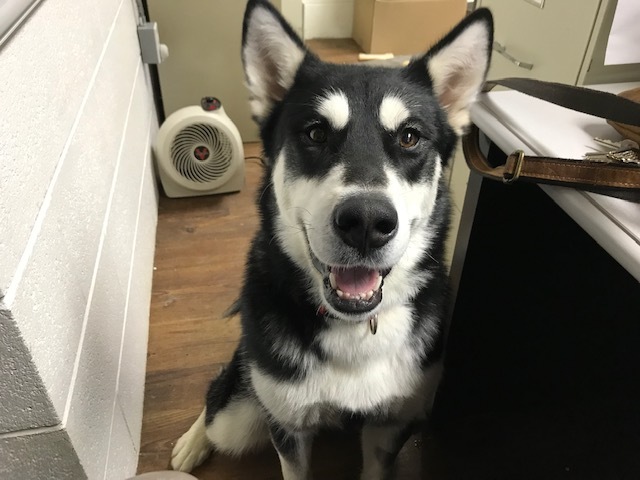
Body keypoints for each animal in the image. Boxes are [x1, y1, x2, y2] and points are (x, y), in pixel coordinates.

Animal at [171, 1, 496, 478]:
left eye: (410, 137)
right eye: (315, 133)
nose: (366, 222)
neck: (355, 328)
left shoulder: (391, 425)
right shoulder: (288, 426)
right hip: (239, 417)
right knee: (219, 395)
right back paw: (194, 441)